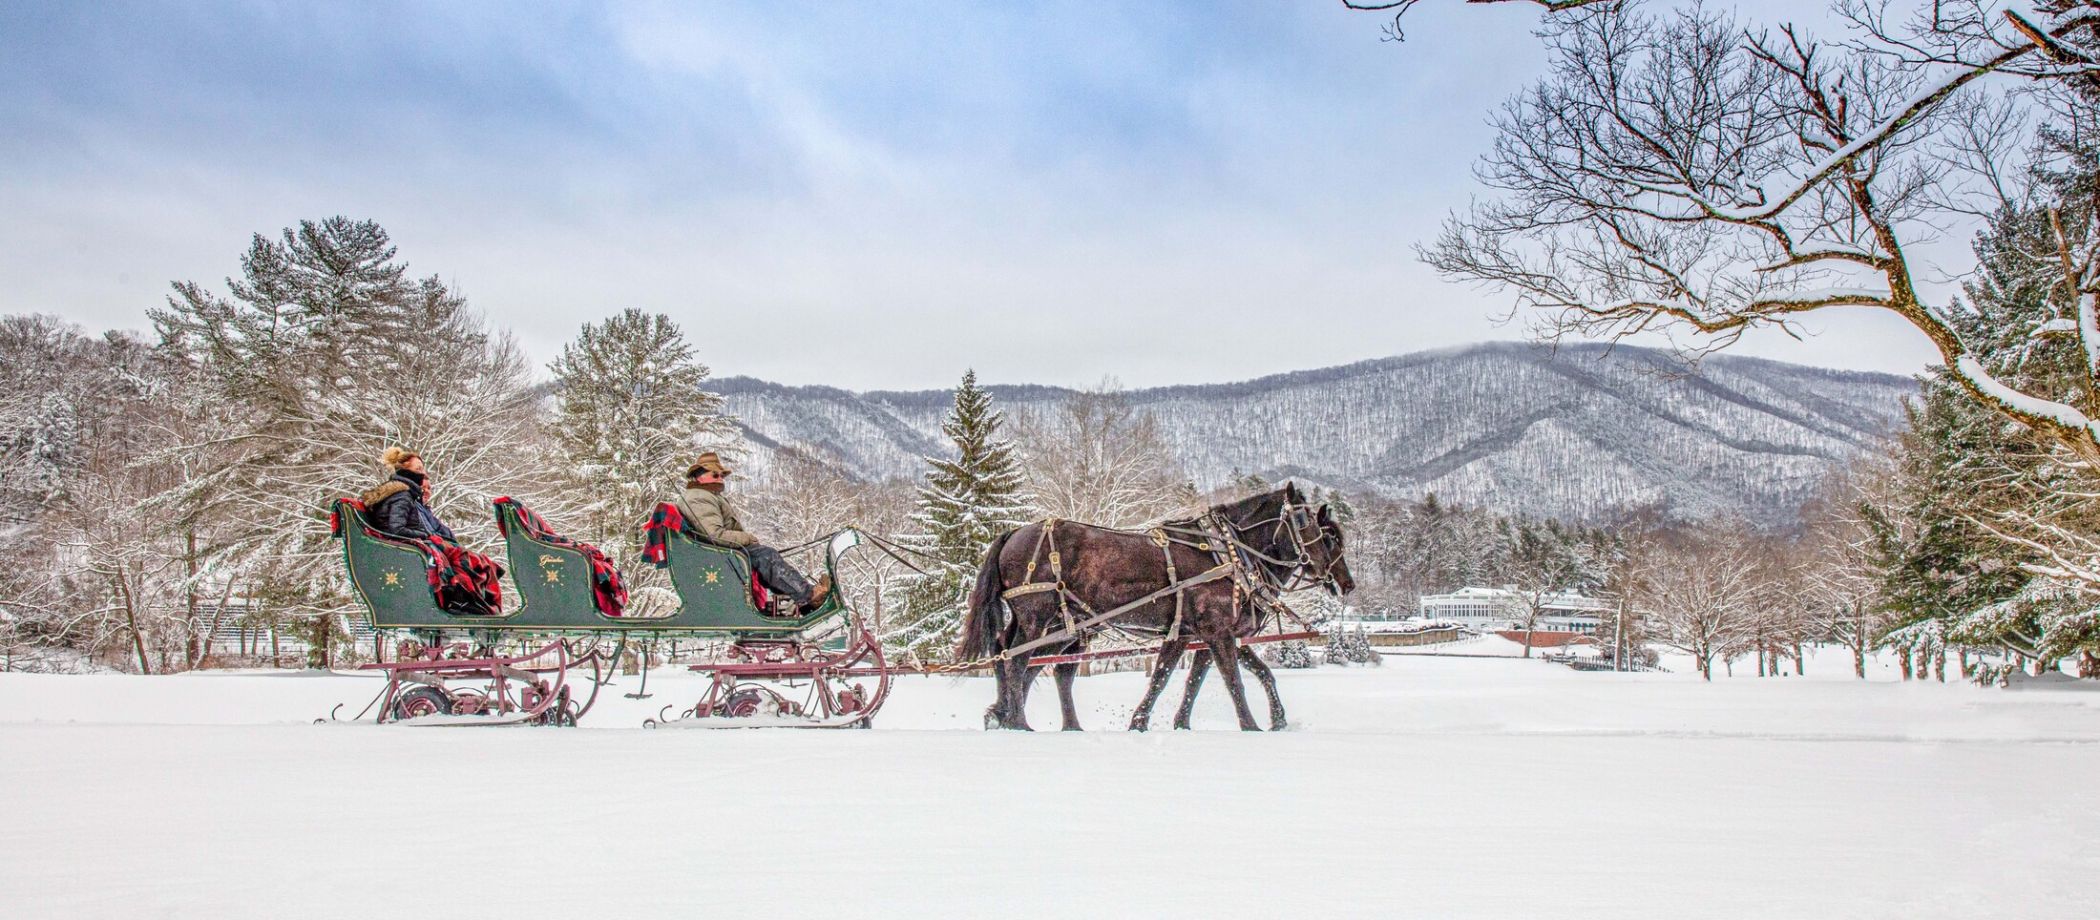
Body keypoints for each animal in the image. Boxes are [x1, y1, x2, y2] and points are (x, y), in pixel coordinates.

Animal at [961, 481, 1352, 735]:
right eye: (1314, 528)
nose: (1346, 583)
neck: (1228, 553)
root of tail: (1013, 534)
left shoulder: (1194, 634)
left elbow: (1179, 678)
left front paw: (1158, 723)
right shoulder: (1218, 631)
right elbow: (1233, 680)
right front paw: (1251, 725)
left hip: (1060, 624)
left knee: (1026, 661)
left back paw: (1014, 717)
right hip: (1038, 617)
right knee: (1017, 661)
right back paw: (1017, 722)